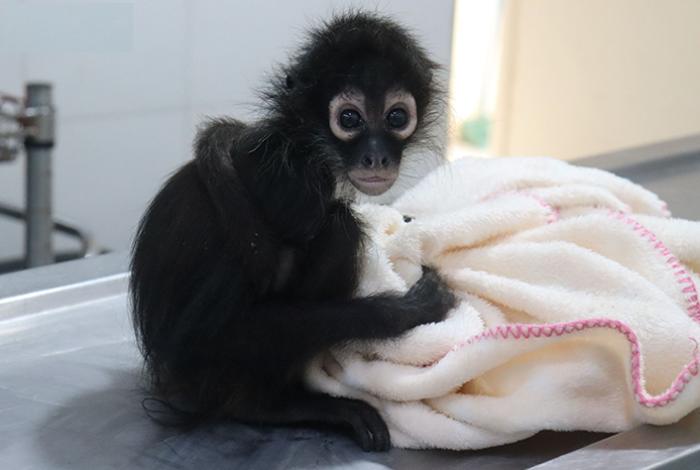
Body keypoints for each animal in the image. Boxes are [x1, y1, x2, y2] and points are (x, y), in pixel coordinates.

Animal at [130, 12, 455, 452]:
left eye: (397, 118)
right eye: (349, 119)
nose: (376, 156)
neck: (303, 142)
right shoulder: (293, 188)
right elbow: (212, 333)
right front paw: (405, 311)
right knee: (339, 228)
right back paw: (266, 406)